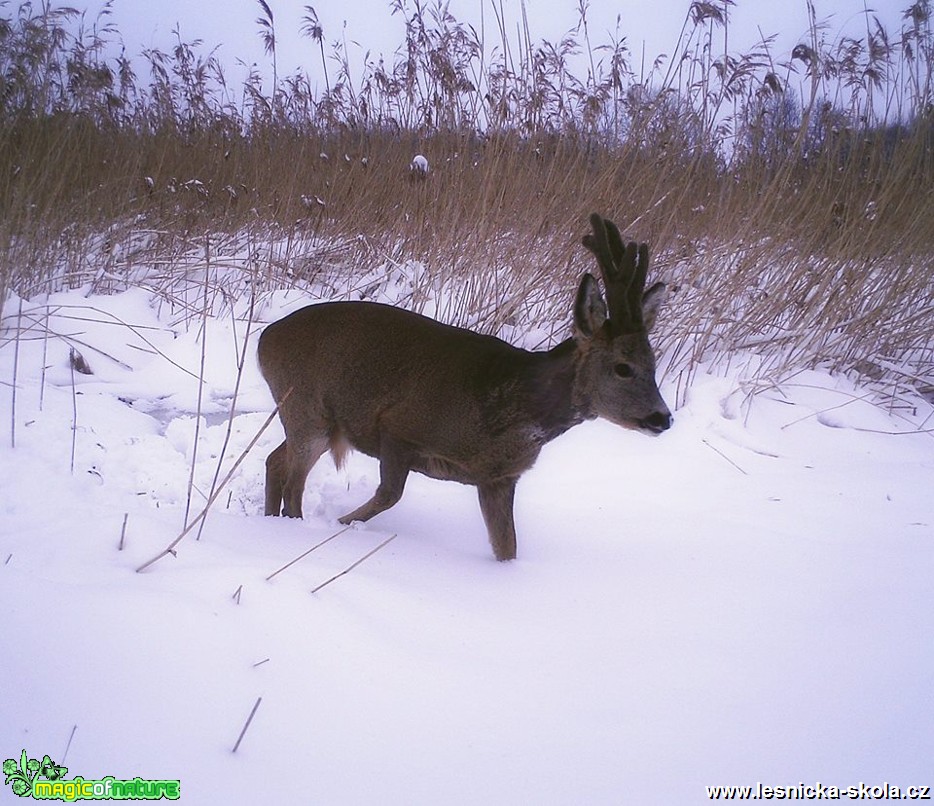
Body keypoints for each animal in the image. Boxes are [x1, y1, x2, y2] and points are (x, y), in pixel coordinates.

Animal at [258, 215, 672, 560]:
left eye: (654, 364)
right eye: (623, 368)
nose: (663, 418)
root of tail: (266, 338)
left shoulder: (499, 478)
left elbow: (507, 548)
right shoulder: (397, 426)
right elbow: (388, 496)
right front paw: (342, 524)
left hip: (311, 418)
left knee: (275, 460)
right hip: (307, 408)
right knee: (293, 483)